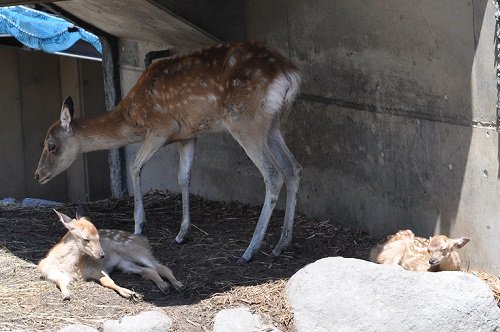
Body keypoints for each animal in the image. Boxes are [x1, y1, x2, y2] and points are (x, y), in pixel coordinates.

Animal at [35, 40, 302, 264]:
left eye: (51, 145)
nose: (38, 175)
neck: (131, 117)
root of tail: (290, 75)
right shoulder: (188, 135)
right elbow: (183, 177)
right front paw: (182, 233)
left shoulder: (161, 128)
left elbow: (134, 166)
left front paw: (139, 226)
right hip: (272, 124)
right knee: (293, 168)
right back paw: (282, 244)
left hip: (244, 119)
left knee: (273, 174)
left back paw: (249, 251)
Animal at [38, 204, 184, 300]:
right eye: (86, 238)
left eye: (98, 236)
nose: (102, 255)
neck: (72, 265)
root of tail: (143, 239)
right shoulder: (50, 272)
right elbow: (60, 281)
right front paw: (66, 295)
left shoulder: (97, 267)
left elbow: (108, 282)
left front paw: (128, 293)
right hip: (123, 263)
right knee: (148, 270)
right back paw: (164, 286)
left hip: (133, 250)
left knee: (161, 267)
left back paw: (178, 285)